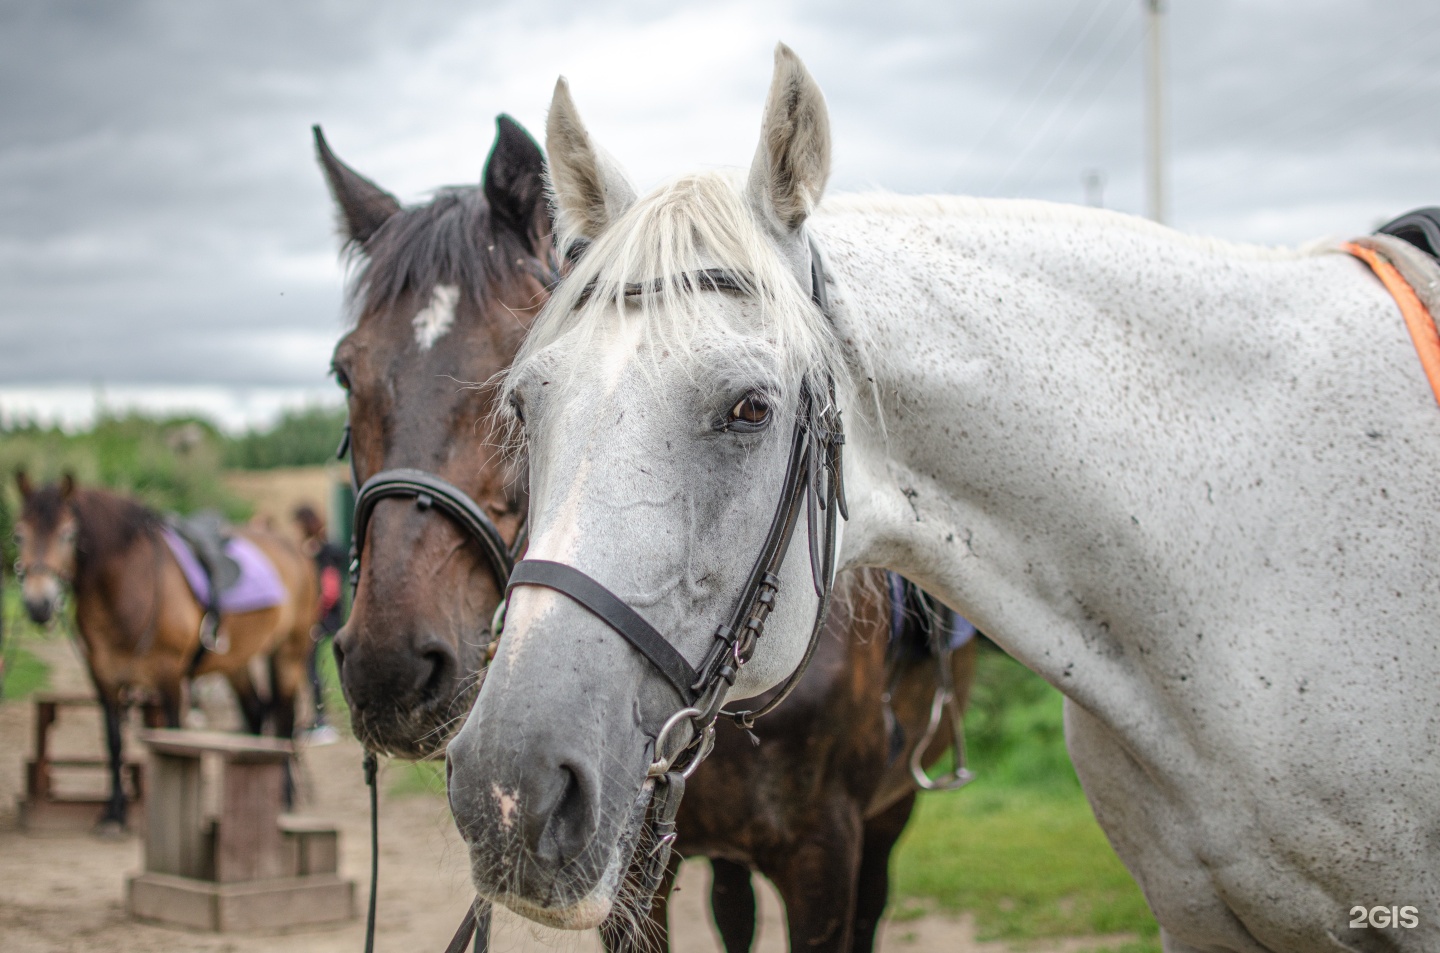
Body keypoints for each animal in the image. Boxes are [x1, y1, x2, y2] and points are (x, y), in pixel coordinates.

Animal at [12, 472, 316, 829]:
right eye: (18, 534)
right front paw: (114, 814)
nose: (38, 603)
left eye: (67, 534)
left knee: (283, 720)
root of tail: (295, 549)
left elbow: (172, 740)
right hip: (236, 662)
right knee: (256, 714)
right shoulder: (104, 680)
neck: (132, 587)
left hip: (288, 653)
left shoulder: (169, 678)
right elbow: (114, 742)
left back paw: (285, 797)